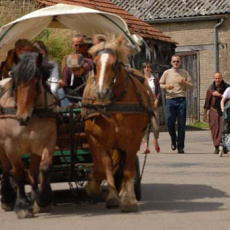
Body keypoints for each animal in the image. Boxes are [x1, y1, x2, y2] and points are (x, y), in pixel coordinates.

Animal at [0, 51, 56, 218]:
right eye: (15, 79)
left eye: (37, 80)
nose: (22, 117)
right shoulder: (11, 145)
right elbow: (18, 172)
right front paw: (23, 205)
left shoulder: (47, 141)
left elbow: (43, 168)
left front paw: (42, 199)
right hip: (2, 146)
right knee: (5, 168)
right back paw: (7, 198)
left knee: (32, 172)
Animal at [82, 34, 155, 212]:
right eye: (95, 64)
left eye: (114, 64)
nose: (101, 93)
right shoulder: (97, 139)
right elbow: (103, 166)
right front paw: (106, 193)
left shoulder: (133, 140)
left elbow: (128, 169)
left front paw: (128, 199)